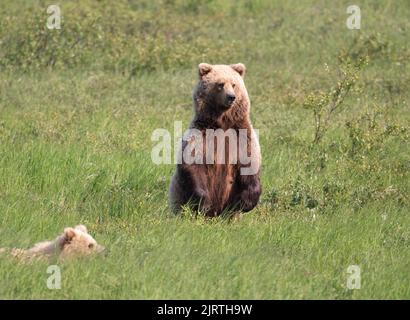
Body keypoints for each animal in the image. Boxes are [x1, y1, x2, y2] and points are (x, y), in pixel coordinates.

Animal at [168, 62, 262, 218]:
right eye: (220, 84)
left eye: (234, 84)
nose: (231, 97)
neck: (222, 123)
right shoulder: (201, 135)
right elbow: (193, 164)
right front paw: (204, 204)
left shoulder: (241, 134)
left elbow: (250, 161)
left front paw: (246, 202)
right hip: (178, 196)